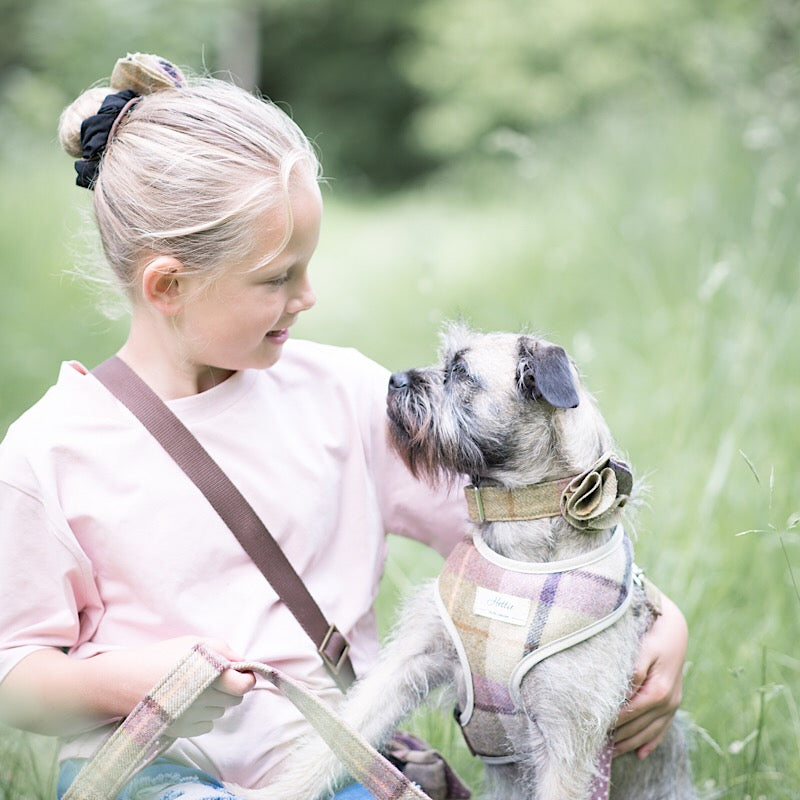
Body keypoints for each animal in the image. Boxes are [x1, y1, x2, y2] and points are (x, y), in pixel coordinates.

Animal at [242, 324, 692, 800]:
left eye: (459, 372)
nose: (394, 380)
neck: (519, 546)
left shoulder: (568, 739)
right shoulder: (409, 662)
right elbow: (336, 739)